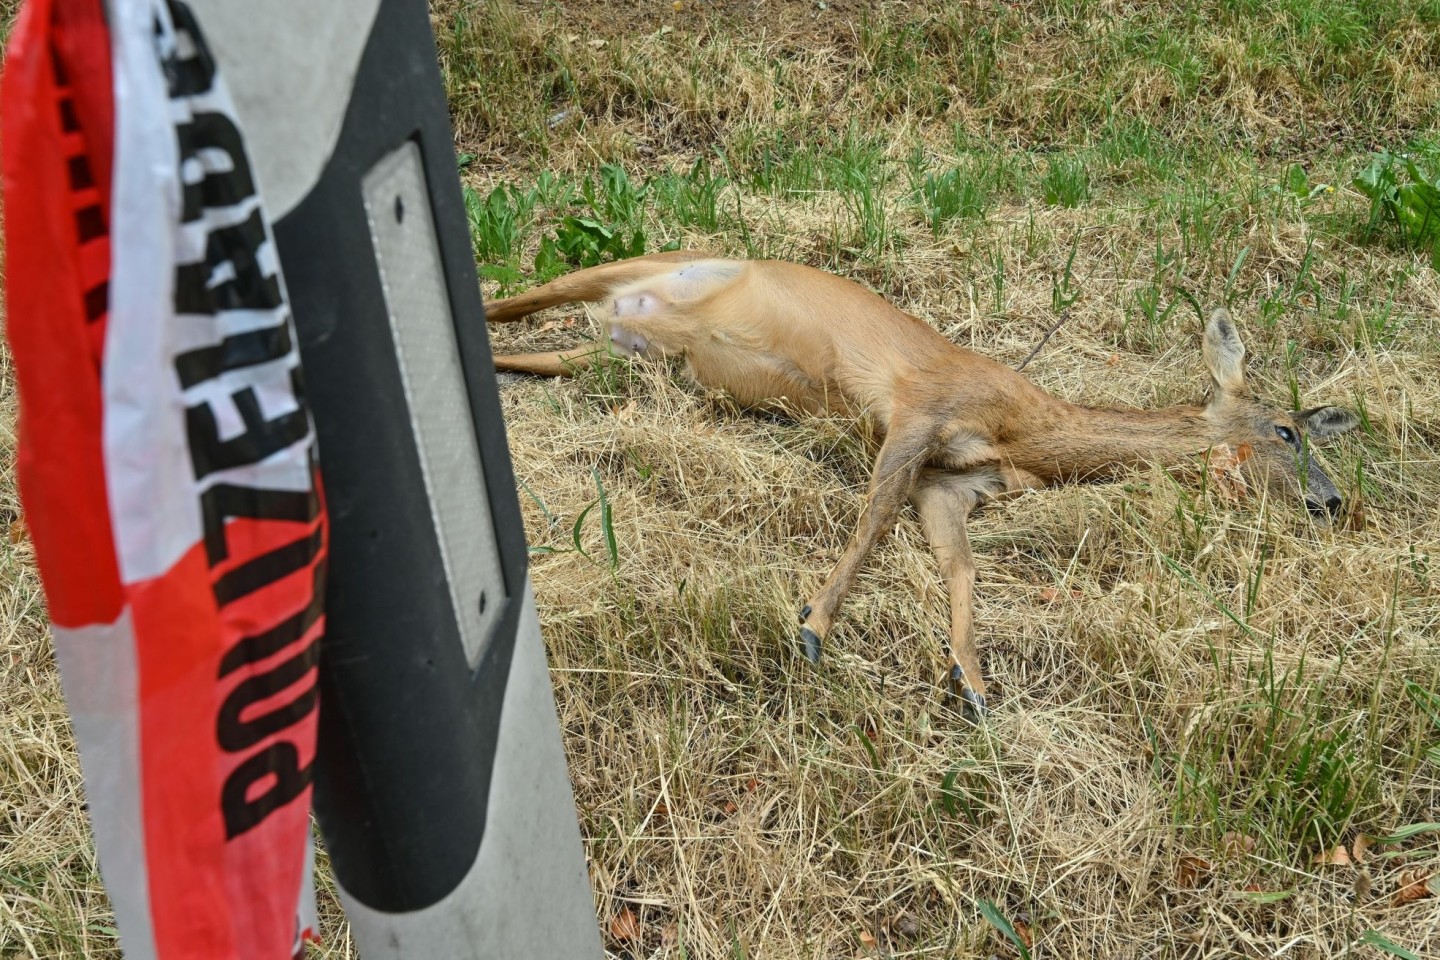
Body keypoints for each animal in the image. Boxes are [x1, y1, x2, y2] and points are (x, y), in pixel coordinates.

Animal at [486, 251, 1359, 716]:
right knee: (512, 298)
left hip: (619, 356)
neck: (1025, 432)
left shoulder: (950, 485)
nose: (1333, 500)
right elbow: (871, 521)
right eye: (1286, 430)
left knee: (524, 352)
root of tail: (624, 313)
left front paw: (969, 678)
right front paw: (813, 626)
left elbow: (960, 566)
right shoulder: (919, 411)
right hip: (636, 269)